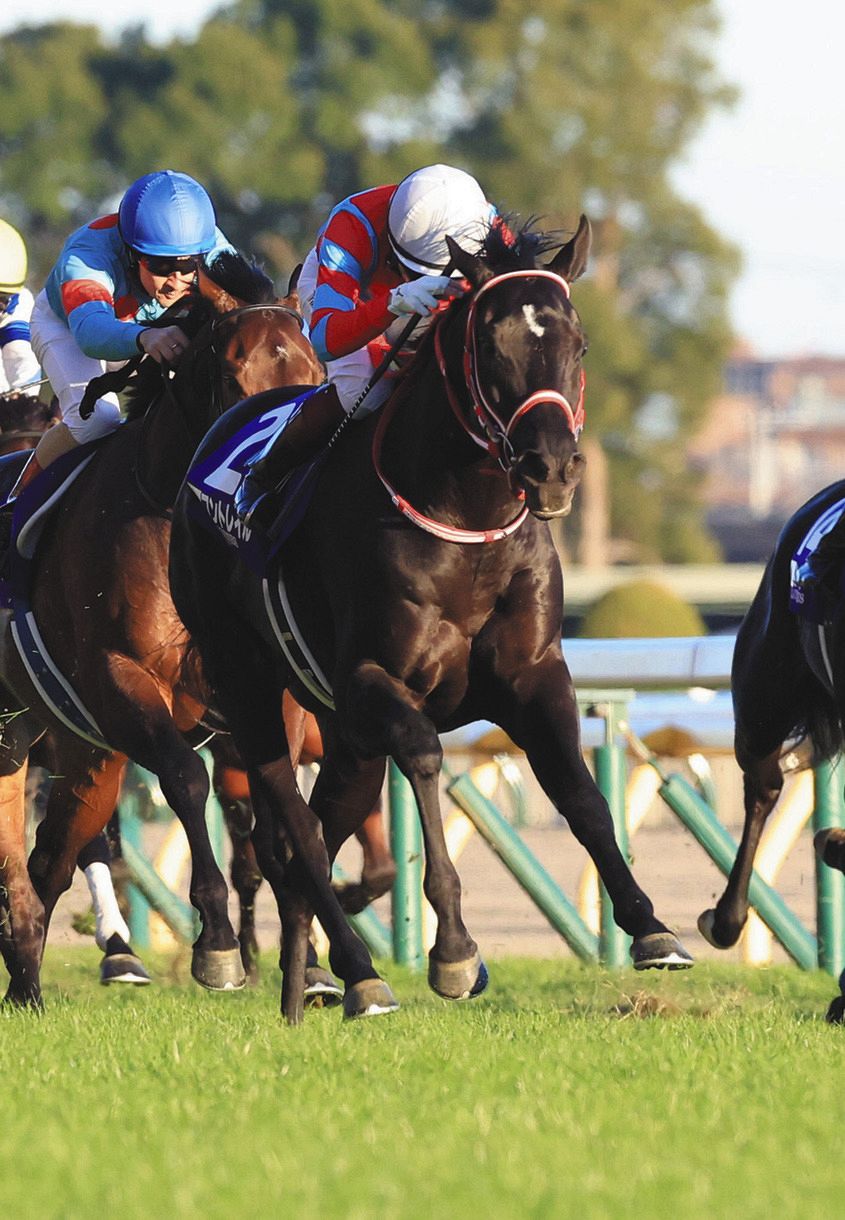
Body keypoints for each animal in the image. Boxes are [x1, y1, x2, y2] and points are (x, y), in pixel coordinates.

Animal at [0, 250, 324, 1006]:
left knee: (51, 855)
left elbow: (285, 813)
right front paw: (218, 946)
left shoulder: (267, 695)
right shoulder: (119, 678)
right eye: (233, 375)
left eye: (314, 371)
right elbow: (184, 779)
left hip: (62, 740)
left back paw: (27, 983)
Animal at [170, 216, 693, 1024]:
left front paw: (651, 927)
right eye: (490, 345)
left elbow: (579, 791)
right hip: (252, 688)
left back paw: (308, 987)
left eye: (577, 344)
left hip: (343, 739)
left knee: (315, 833)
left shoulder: (533, 675)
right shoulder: (370, 681)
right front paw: (452, 950)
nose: (550, 469)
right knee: (295, 831)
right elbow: (422, 755)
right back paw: (356, 971)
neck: (466, 524)